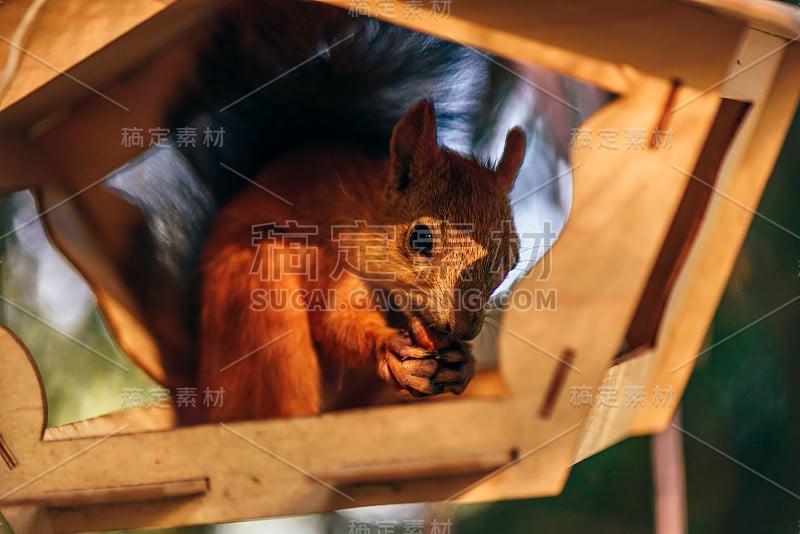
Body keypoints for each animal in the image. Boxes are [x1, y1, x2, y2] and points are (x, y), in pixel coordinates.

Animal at [190, 98, 520, 420]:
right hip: (260, 306)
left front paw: (464, 363)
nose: (464, 330)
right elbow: (336, 322)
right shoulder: (332, 260)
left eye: (512, 259)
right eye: (421, 238)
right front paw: (386, 343)